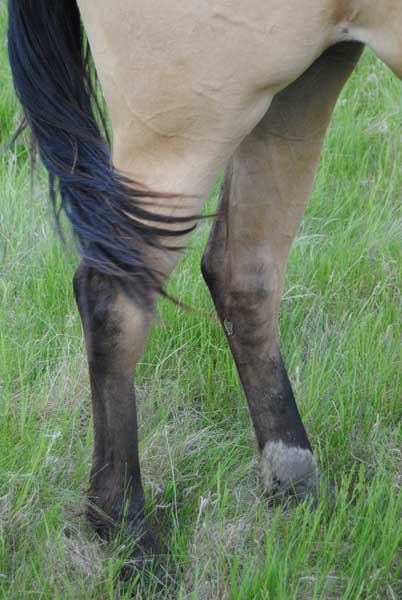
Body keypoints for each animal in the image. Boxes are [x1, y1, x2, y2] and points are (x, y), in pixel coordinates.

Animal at [7, 0, 402, 557]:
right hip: (196, 115)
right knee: (114, 296)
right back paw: (129, 534)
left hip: (304, 76)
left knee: (244, 273)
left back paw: (295, 485)